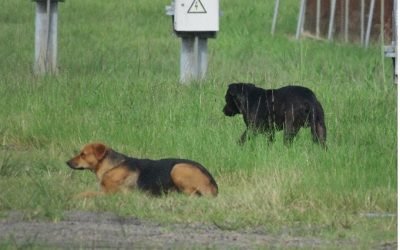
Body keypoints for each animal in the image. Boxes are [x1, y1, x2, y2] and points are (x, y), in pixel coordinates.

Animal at [66, 143, 216, 197]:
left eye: (83, 154)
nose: (67, 162)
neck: (113, 166)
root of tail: (214, 185)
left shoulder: (111, 193)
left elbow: (86, 193)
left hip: (178, 168)